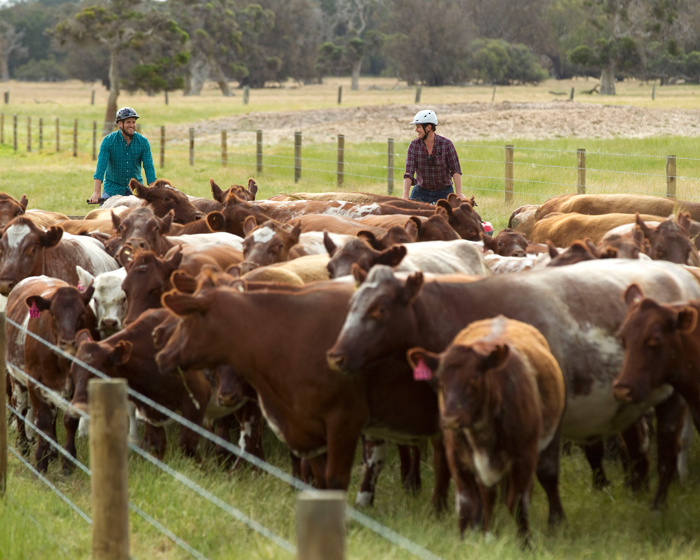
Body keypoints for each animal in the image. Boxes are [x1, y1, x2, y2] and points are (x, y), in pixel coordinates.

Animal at [5, 276, 97, 472]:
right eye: (53, 314)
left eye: (82, 313)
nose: (68, 343)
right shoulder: (34, 383)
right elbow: (42, 421)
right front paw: (41, 460)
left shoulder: (75, 386)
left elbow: (69, 420)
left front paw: (68, 460)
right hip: (16, 379)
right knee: (20, 409)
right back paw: (23, 446)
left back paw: (53, 451)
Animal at [408, 318, 568, 540]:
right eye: (439, 379)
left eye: (475, 376)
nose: (450, 418)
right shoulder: (457, 456)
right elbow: (466, 503)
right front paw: (465, 540)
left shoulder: (525, 455)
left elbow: (518, 503)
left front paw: (525, 542)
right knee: (487, 495)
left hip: (551, 436)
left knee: (548, 474)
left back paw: (557, 521)